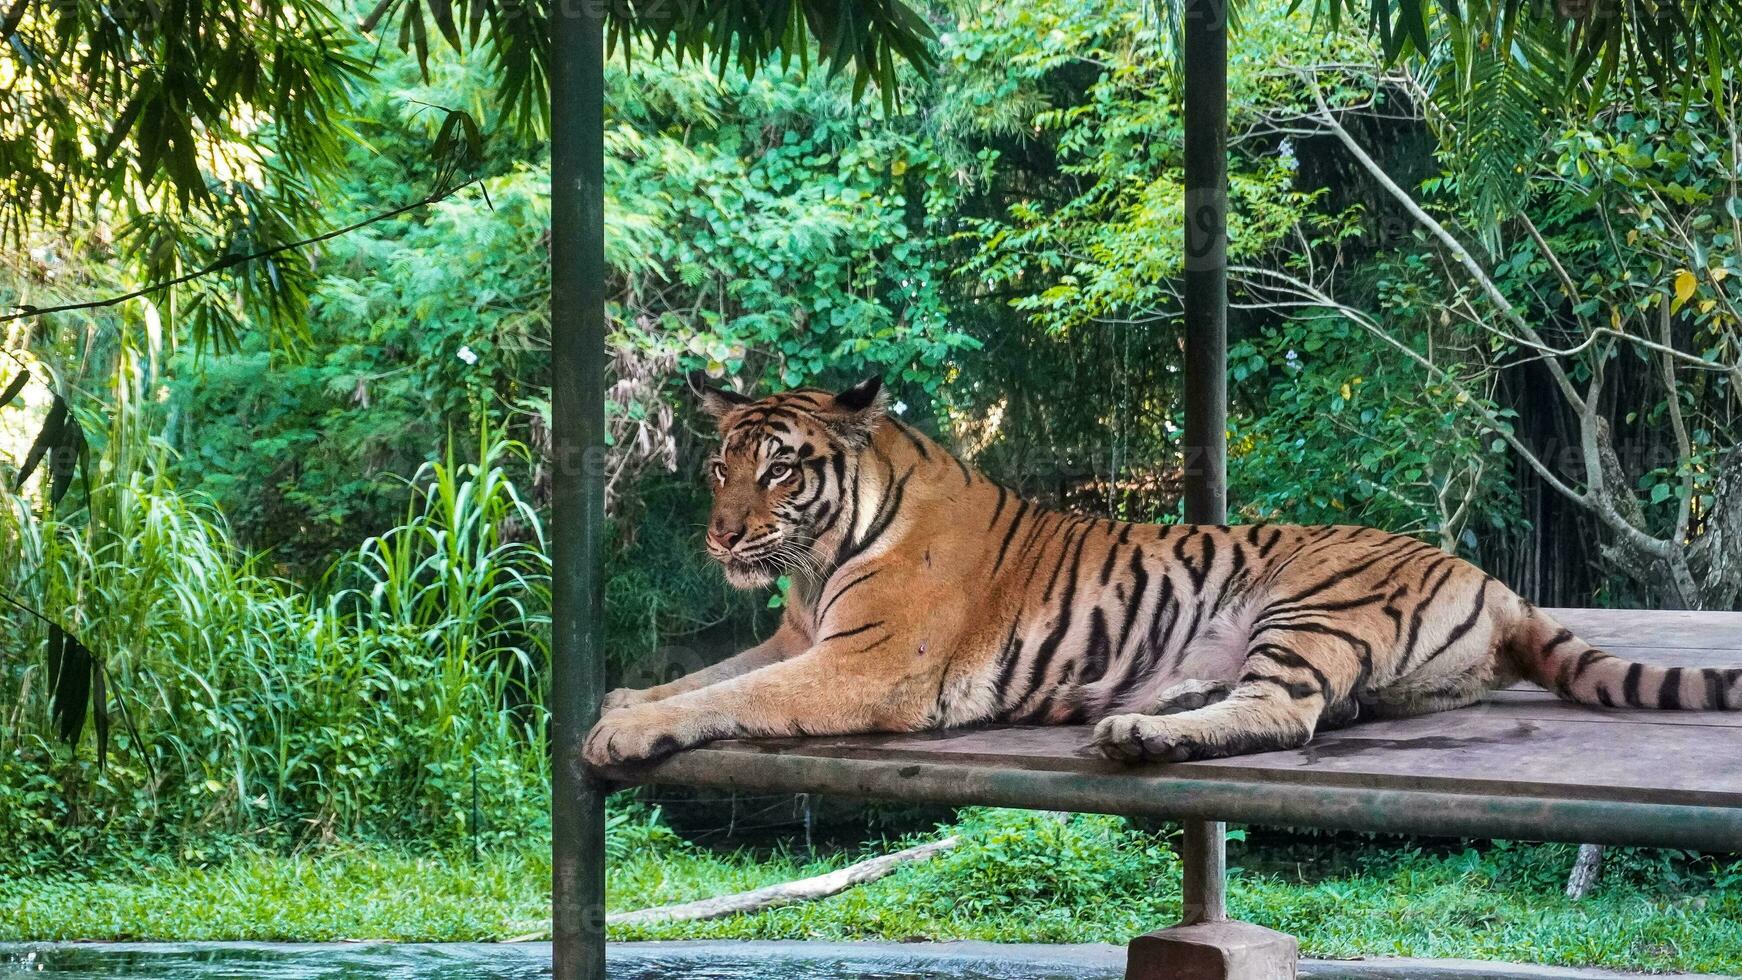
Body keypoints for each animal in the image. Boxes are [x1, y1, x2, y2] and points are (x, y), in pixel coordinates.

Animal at [581, 374, 1742, 765]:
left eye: (778, 468)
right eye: (720, 465)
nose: (722, 537)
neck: (818, 562)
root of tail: (1495, 581)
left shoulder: (862, 664)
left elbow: (737, 695)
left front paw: (621, 729)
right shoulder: (795, 634)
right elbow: (710, 673)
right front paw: (625, 696)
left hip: (1309, 602)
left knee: (1288, 714)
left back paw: (1144, 733)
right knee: (1319, 708)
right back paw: (1163, 702)